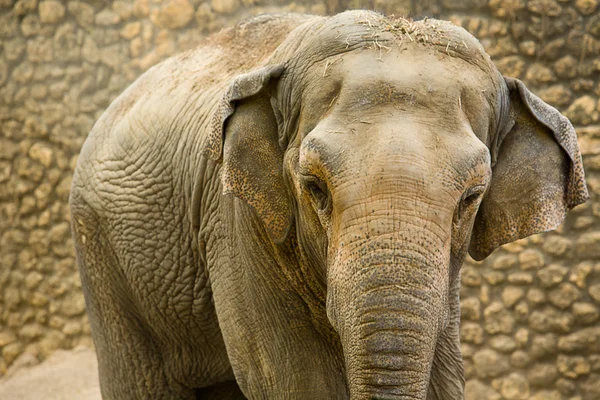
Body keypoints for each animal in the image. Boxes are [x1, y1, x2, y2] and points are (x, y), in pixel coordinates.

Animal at [68, 9, 588, 400]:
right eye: (314, 187)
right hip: (102, 254)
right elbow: (295, 379)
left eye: (472, 197)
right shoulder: (234, 220)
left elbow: (444, 375)